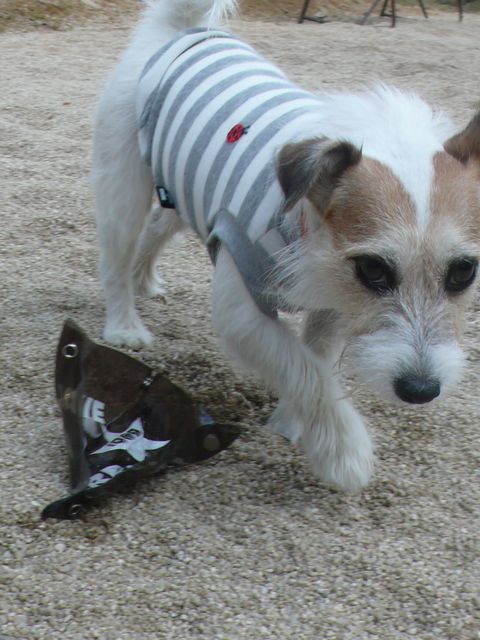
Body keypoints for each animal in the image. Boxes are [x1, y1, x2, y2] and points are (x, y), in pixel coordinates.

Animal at [92, 0, 480, 492]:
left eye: (463, 271)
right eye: (374, 269)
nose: (421, 390)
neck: (308, 233)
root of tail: (183, 30)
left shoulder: (333, 311)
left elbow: (315, 362)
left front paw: (292, 424)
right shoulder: (243, 314)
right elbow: (305, 370)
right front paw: (344, 452)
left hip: (180, 192)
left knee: (157, 227)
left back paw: (145, 279)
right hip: (123, 187)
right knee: (116, 257)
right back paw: (124, 323)